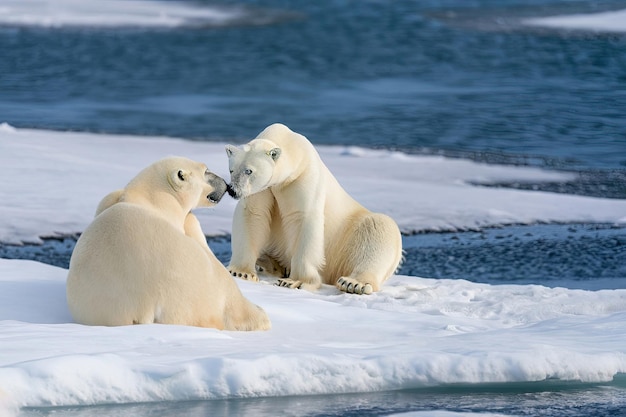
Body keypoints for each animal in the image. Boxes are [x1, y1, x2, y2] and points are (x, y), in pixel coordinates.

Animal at [66, 154, 270, 330]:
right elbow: (192, 224)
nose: (226, 185)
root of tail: (141, 305)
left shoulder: (107, 199)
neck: (153, 199)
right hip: (192, 286)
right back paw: (260, 316)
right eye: (206, 170)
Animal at [223, 122, 400, 294]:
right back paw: (270, 264)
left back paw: (353, 283)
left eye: (249, 171)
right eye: (231, 170)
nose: (232, 190)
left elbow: (303, 219)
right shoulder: (263, 190)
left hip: (347, 237)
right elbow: (253, 214)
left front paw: (295, 282)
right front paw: (241, 272)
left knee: (378, 229)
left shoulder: (303, 176)